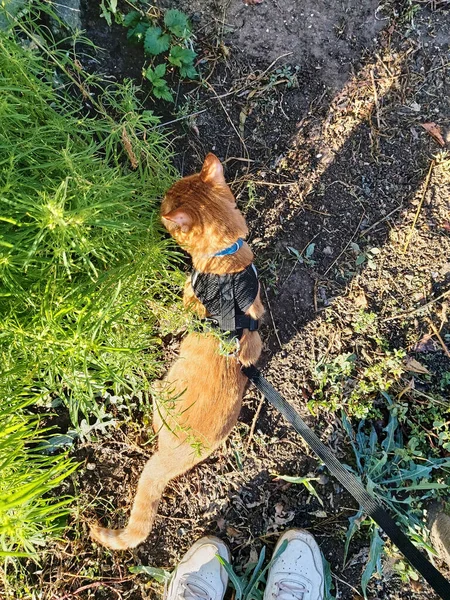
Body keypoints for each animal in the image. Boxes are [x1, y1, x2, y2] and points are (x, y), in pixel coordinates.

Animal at [91, 154, 266, 548]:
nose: (158, 204)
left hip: (159, 394)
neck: (227, 260)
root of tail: (177, 454)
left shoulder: (188, 299)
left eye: (165, 209)